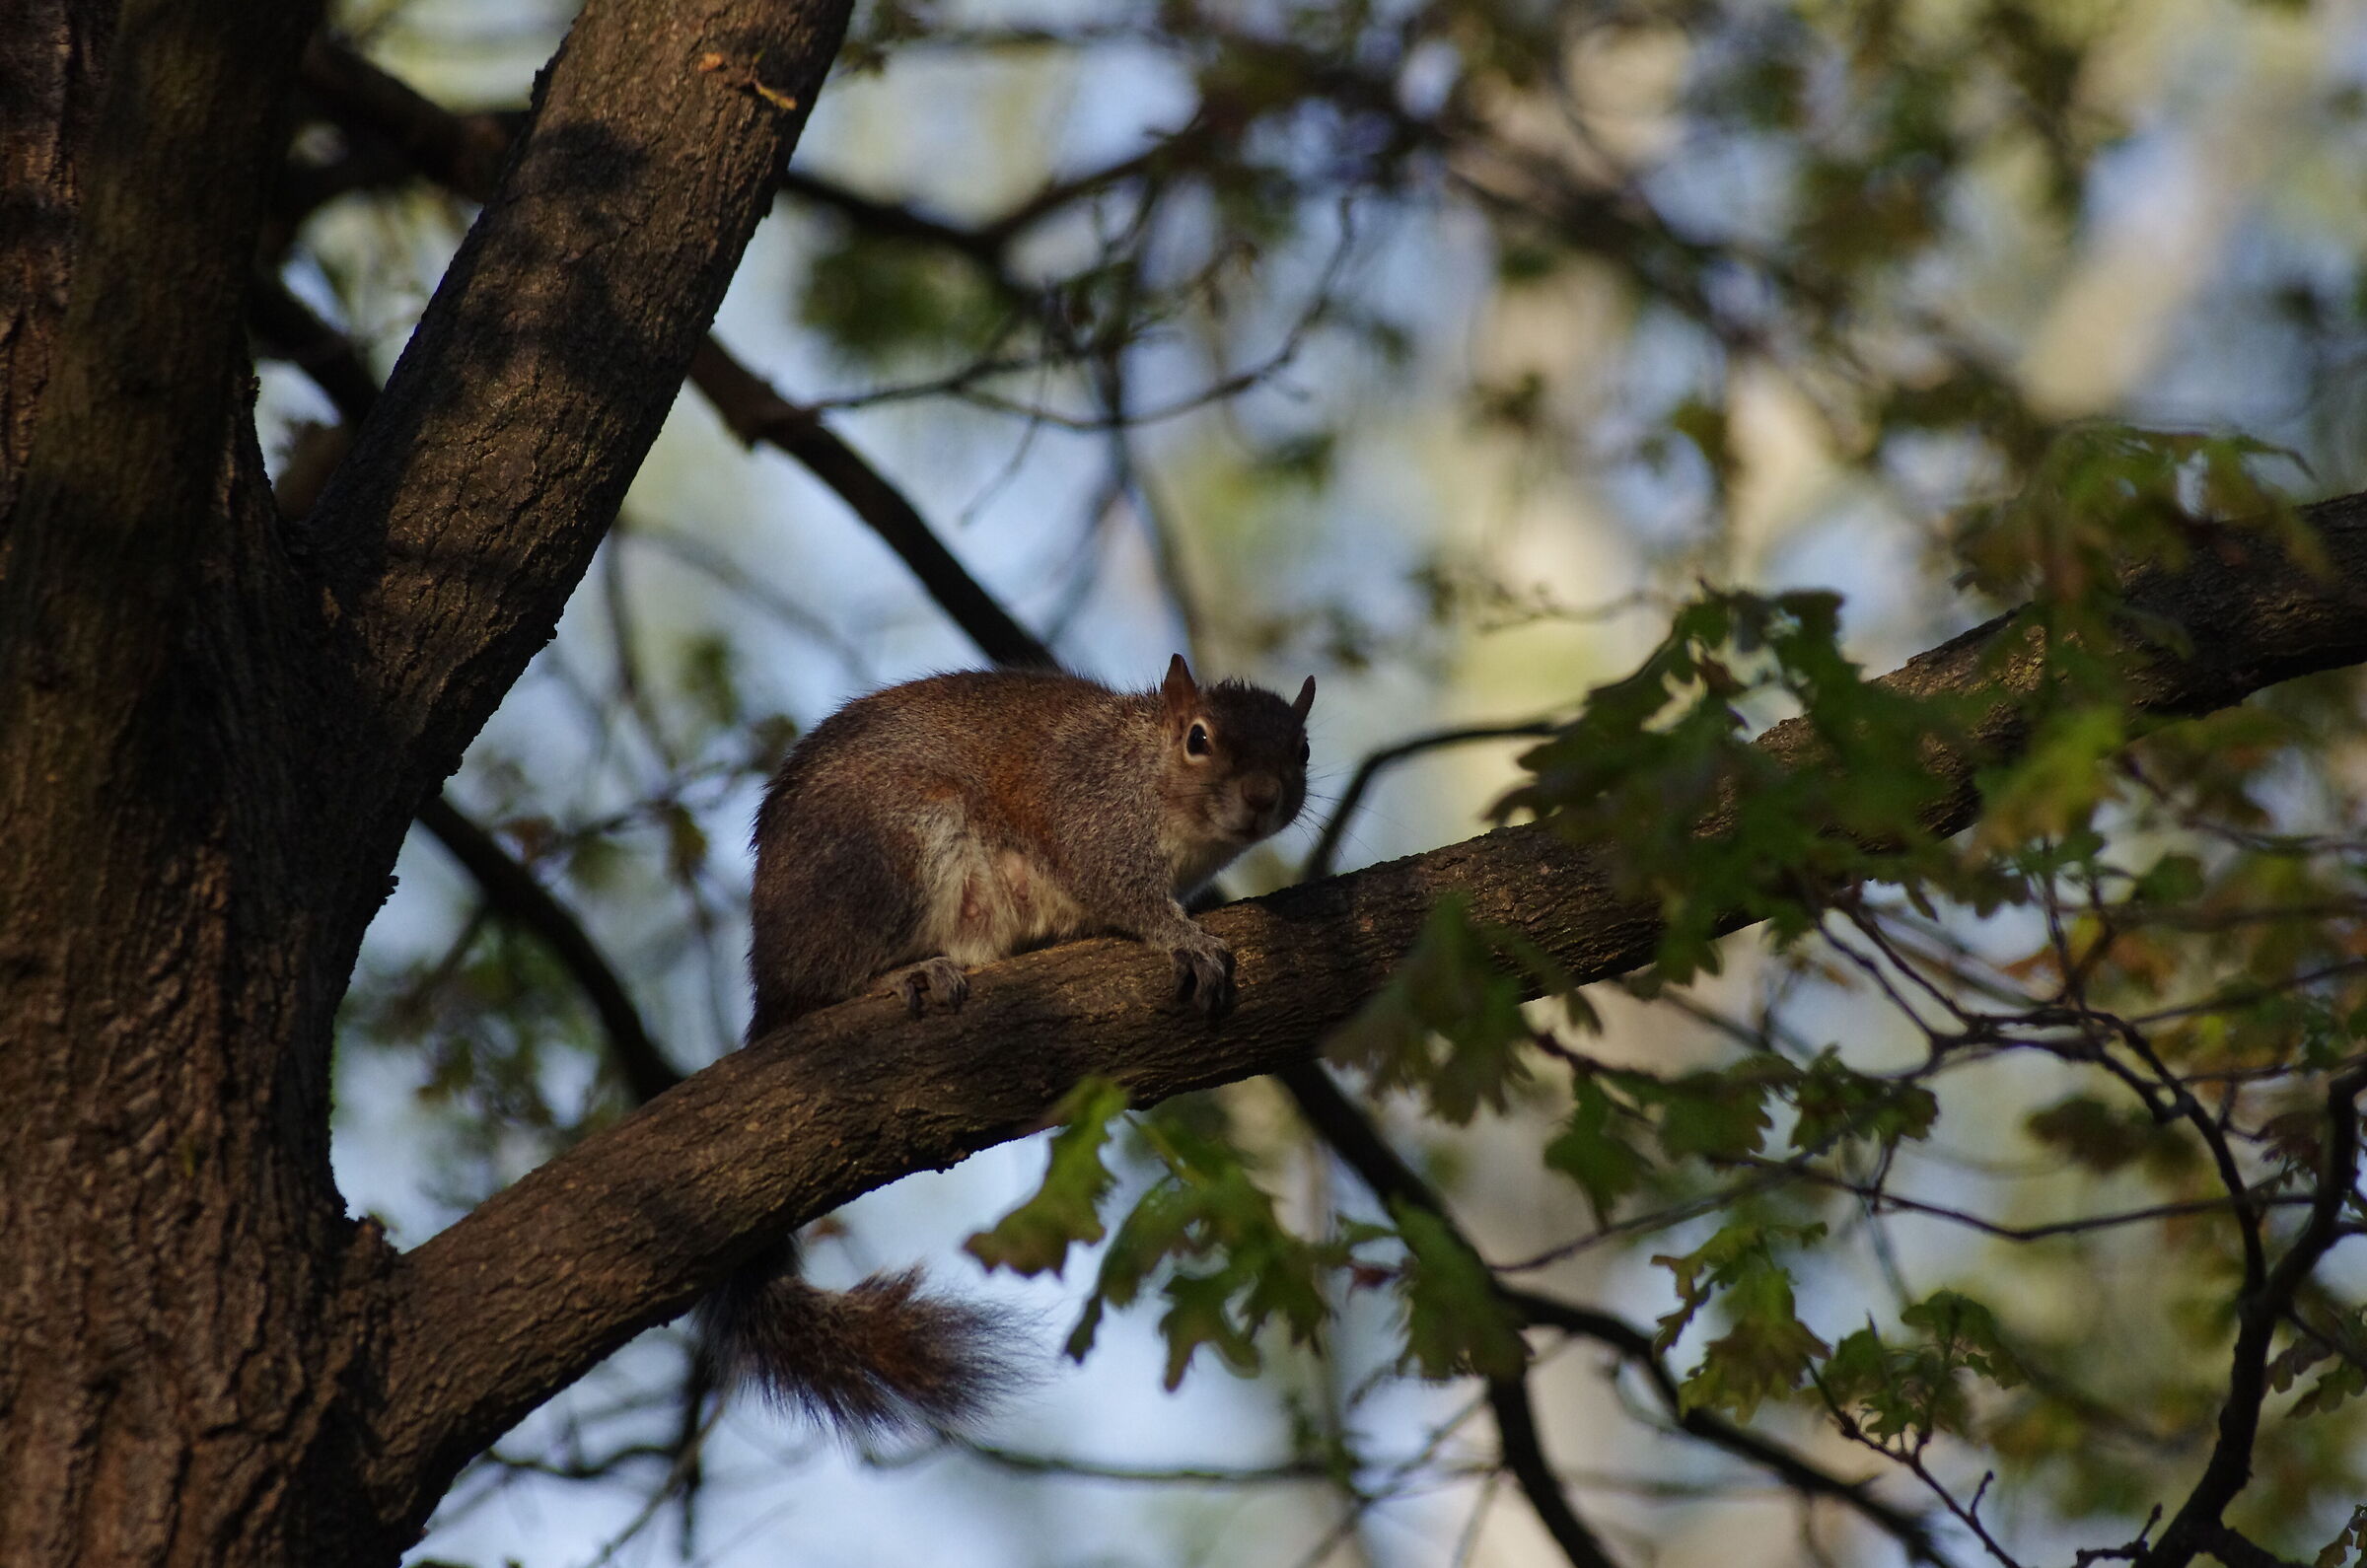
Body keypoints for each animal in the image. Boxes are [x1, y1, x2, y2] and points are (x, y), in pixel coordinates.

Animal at [703, 654, 1317, 1437]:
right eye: (1199, 739)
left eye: (1301, 748)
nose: (1263, 797)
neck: (1144, 769)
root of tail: (772, 970)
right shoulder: (1094, 822)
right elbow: (1125, 895)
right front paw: (1185, 938)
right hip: (892, 849)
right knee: (834, 982)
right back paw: (907, 975)